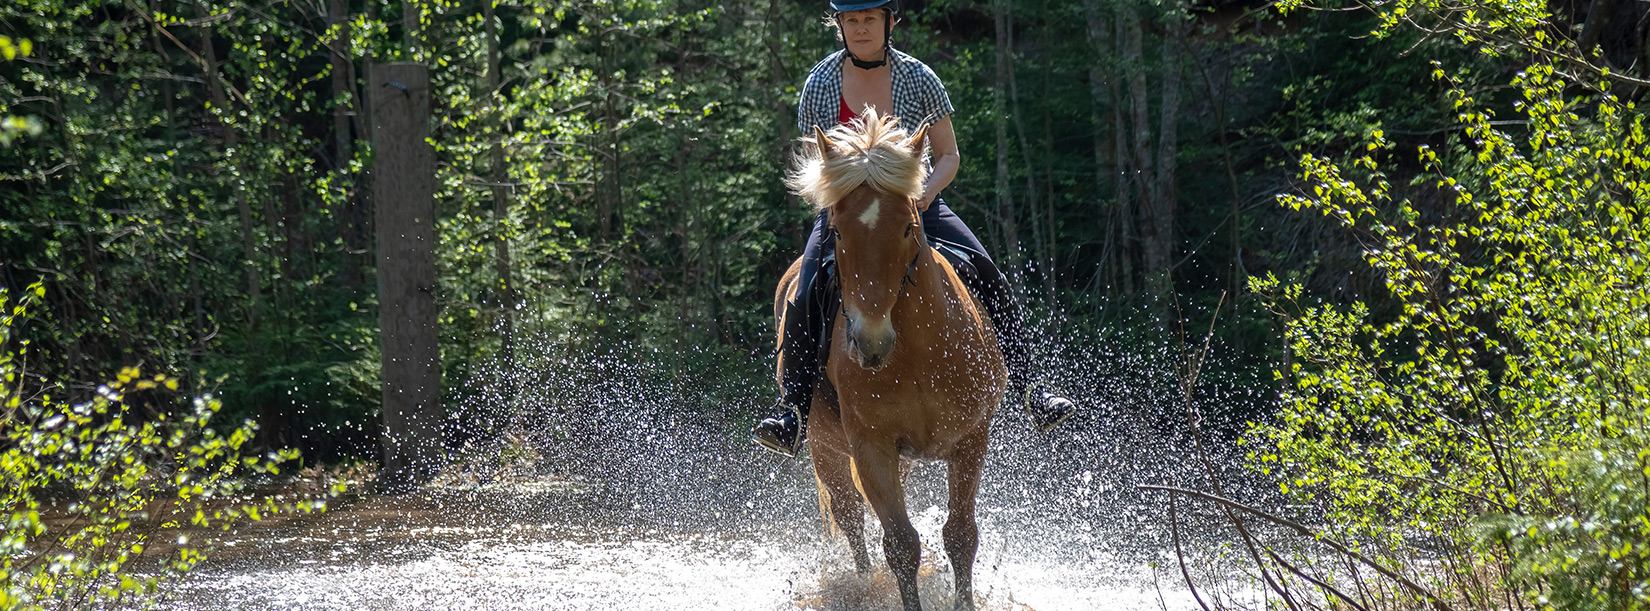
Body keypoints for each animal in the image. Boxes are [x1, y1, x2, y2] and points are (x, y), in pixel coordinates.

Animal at [773, 109, 1008, 611]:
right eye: (837, 231)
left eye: (907, 227)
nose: (870, 342)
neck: (917, 353)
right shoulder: (871, 447)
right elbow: (900, 543)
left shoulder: (971, 440)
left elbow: (961, 535)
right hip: (825, 448)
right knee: (851, 518)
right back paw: (863, 584)